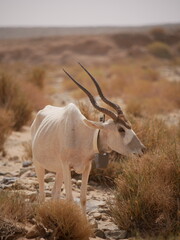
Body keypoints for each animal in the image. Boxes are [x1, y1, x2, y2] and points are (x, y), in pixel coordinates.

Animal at [31, 62, 146, 213]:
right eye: (121, 129)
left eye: (130, 126)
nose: (142, 149)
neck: (81, 136)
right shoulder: (67, 166)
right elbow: (69, 199)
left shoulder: (86, 167)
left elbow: (83, 199)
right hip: (39, 164)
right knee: (43, 196)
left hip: (59, 170)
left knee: (54, 194)